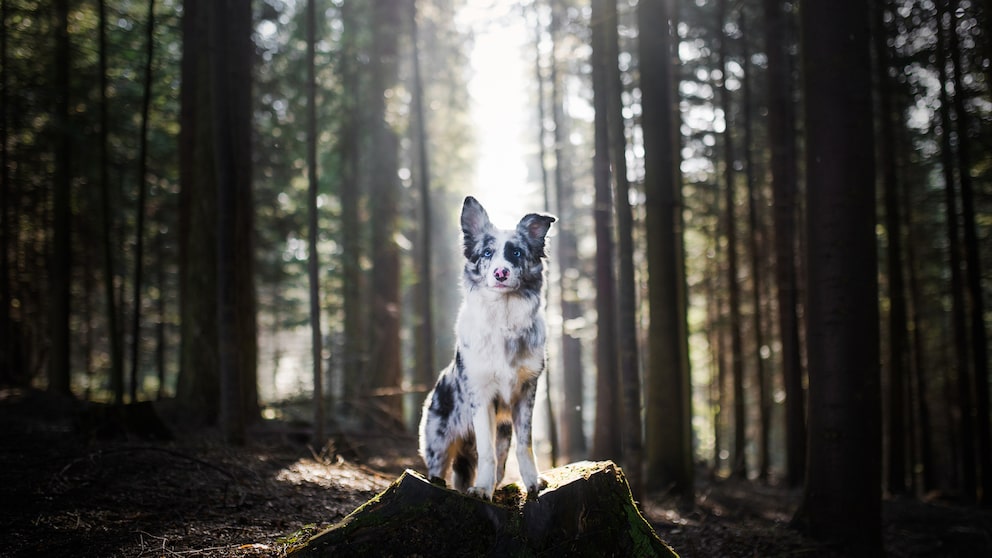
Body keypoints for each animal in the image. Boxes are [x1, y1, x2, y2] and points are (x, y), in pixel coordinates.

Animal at [420, 198, 560, 504]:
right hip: (439, 441)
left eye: (516, 252)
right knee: (440, 468)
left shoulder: (527, 393)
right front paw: (482, 489)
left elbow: (525, 444)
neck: (503, 319)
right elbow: (485, 452)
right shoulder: (482, 395)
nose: (500, 273)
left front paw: (532, 482)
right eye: (487, 253)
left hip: (503, 435)